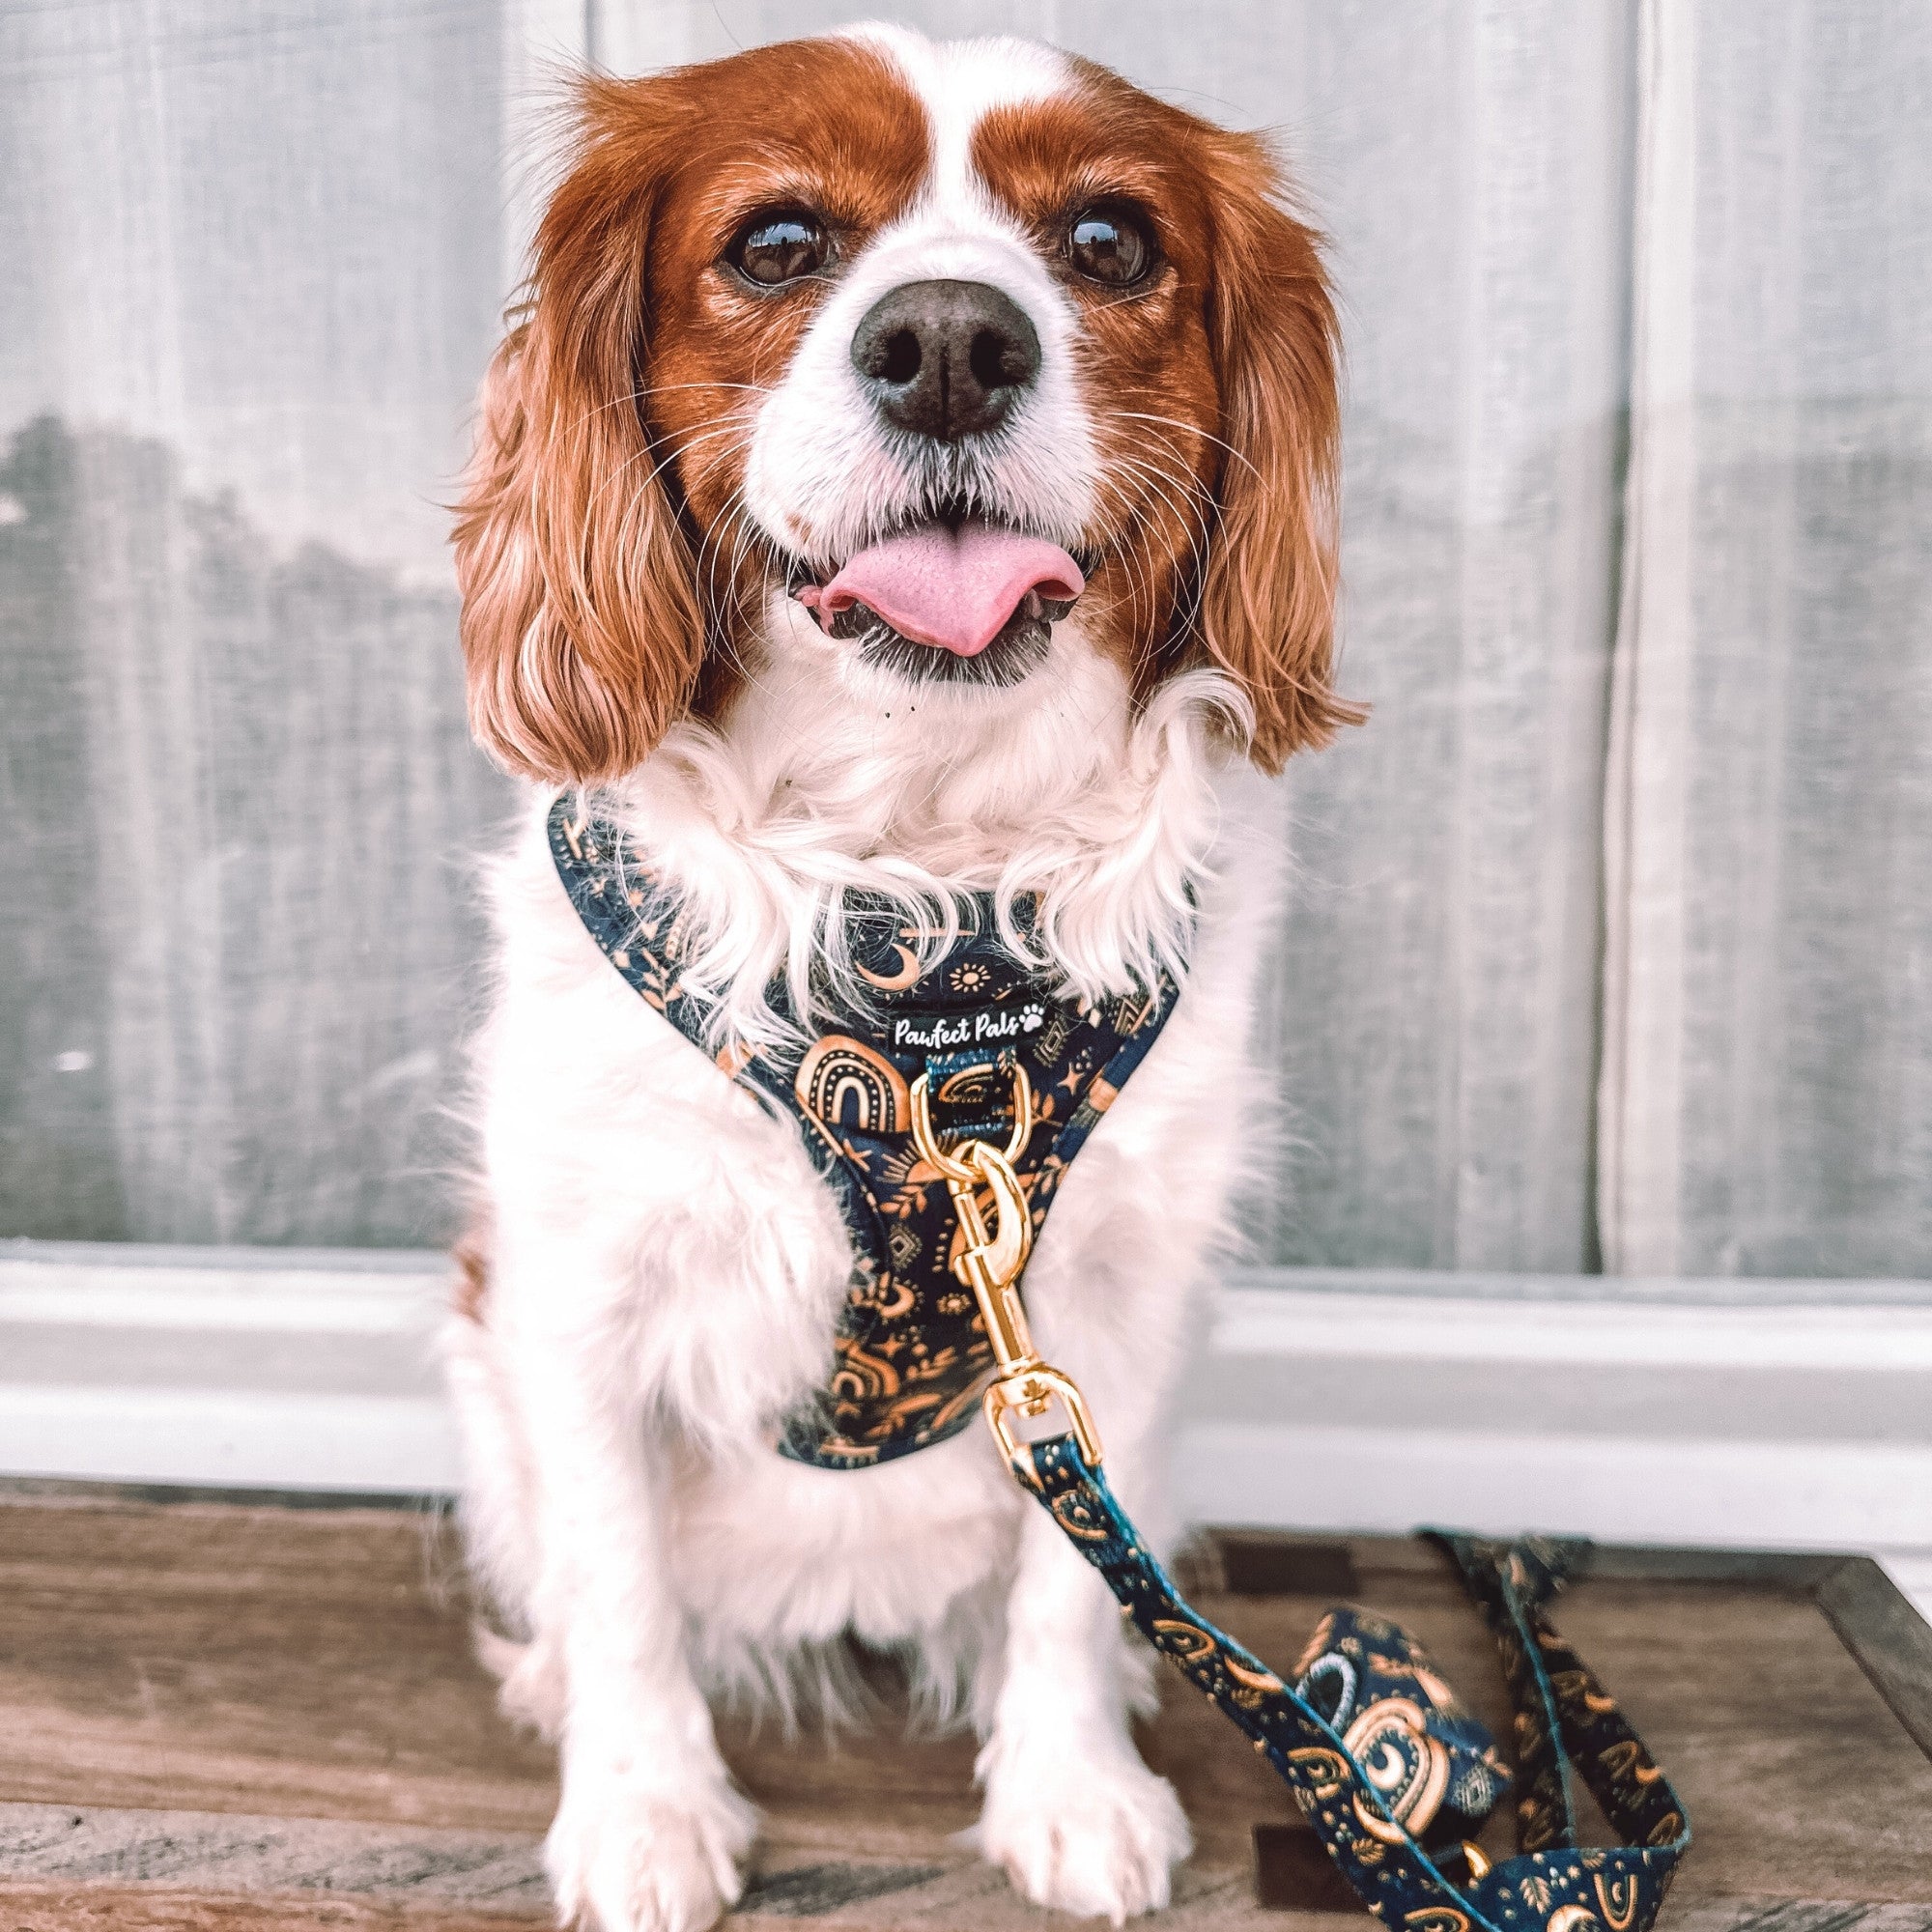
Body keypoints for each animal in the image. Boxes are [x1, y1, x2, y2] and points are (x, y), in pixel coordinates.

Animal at [444, 24, 1350, 1932]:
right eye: (781, 242)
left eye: (1108, 240)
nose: (948, 342)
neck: (916, 906)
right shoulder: (572, 1293)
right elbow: (620, 1581)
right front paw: (642, 1812)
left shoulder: (1112, 1307)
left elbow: (1072, 1586)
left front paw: (1071, 1788)